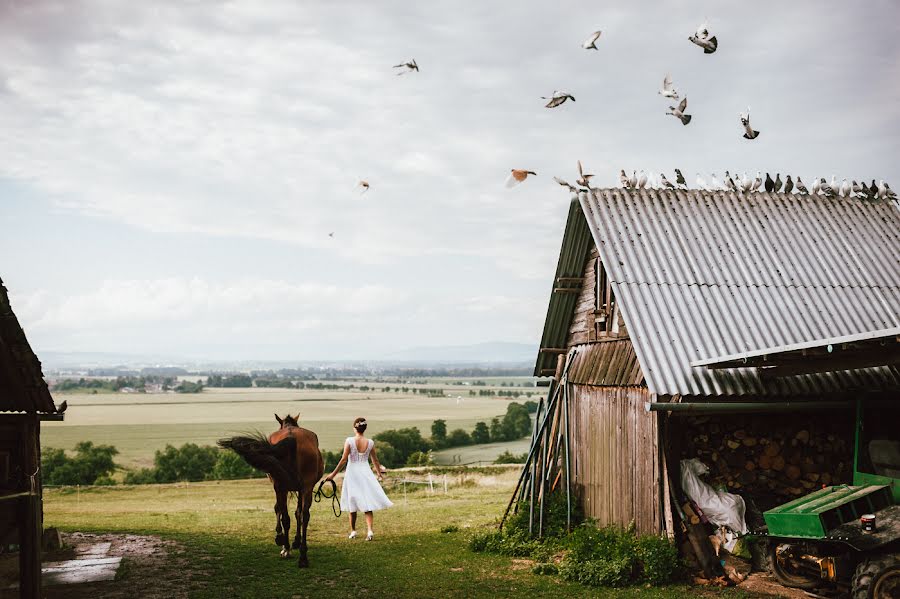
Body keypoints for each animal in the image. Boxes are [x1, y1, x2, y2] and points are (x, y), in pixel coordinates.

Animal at [217, 414, 324, 568]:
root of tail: (292, 437)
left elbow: (280, 509)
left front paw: (282, 538)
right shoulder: (298, 489)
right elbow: (296, 512)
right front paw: (295, 541)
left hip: (283, 486)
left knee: (287, 515)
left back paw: (286, 548)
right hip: (304, 487)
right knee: (302, 515)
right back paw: (302, 556)